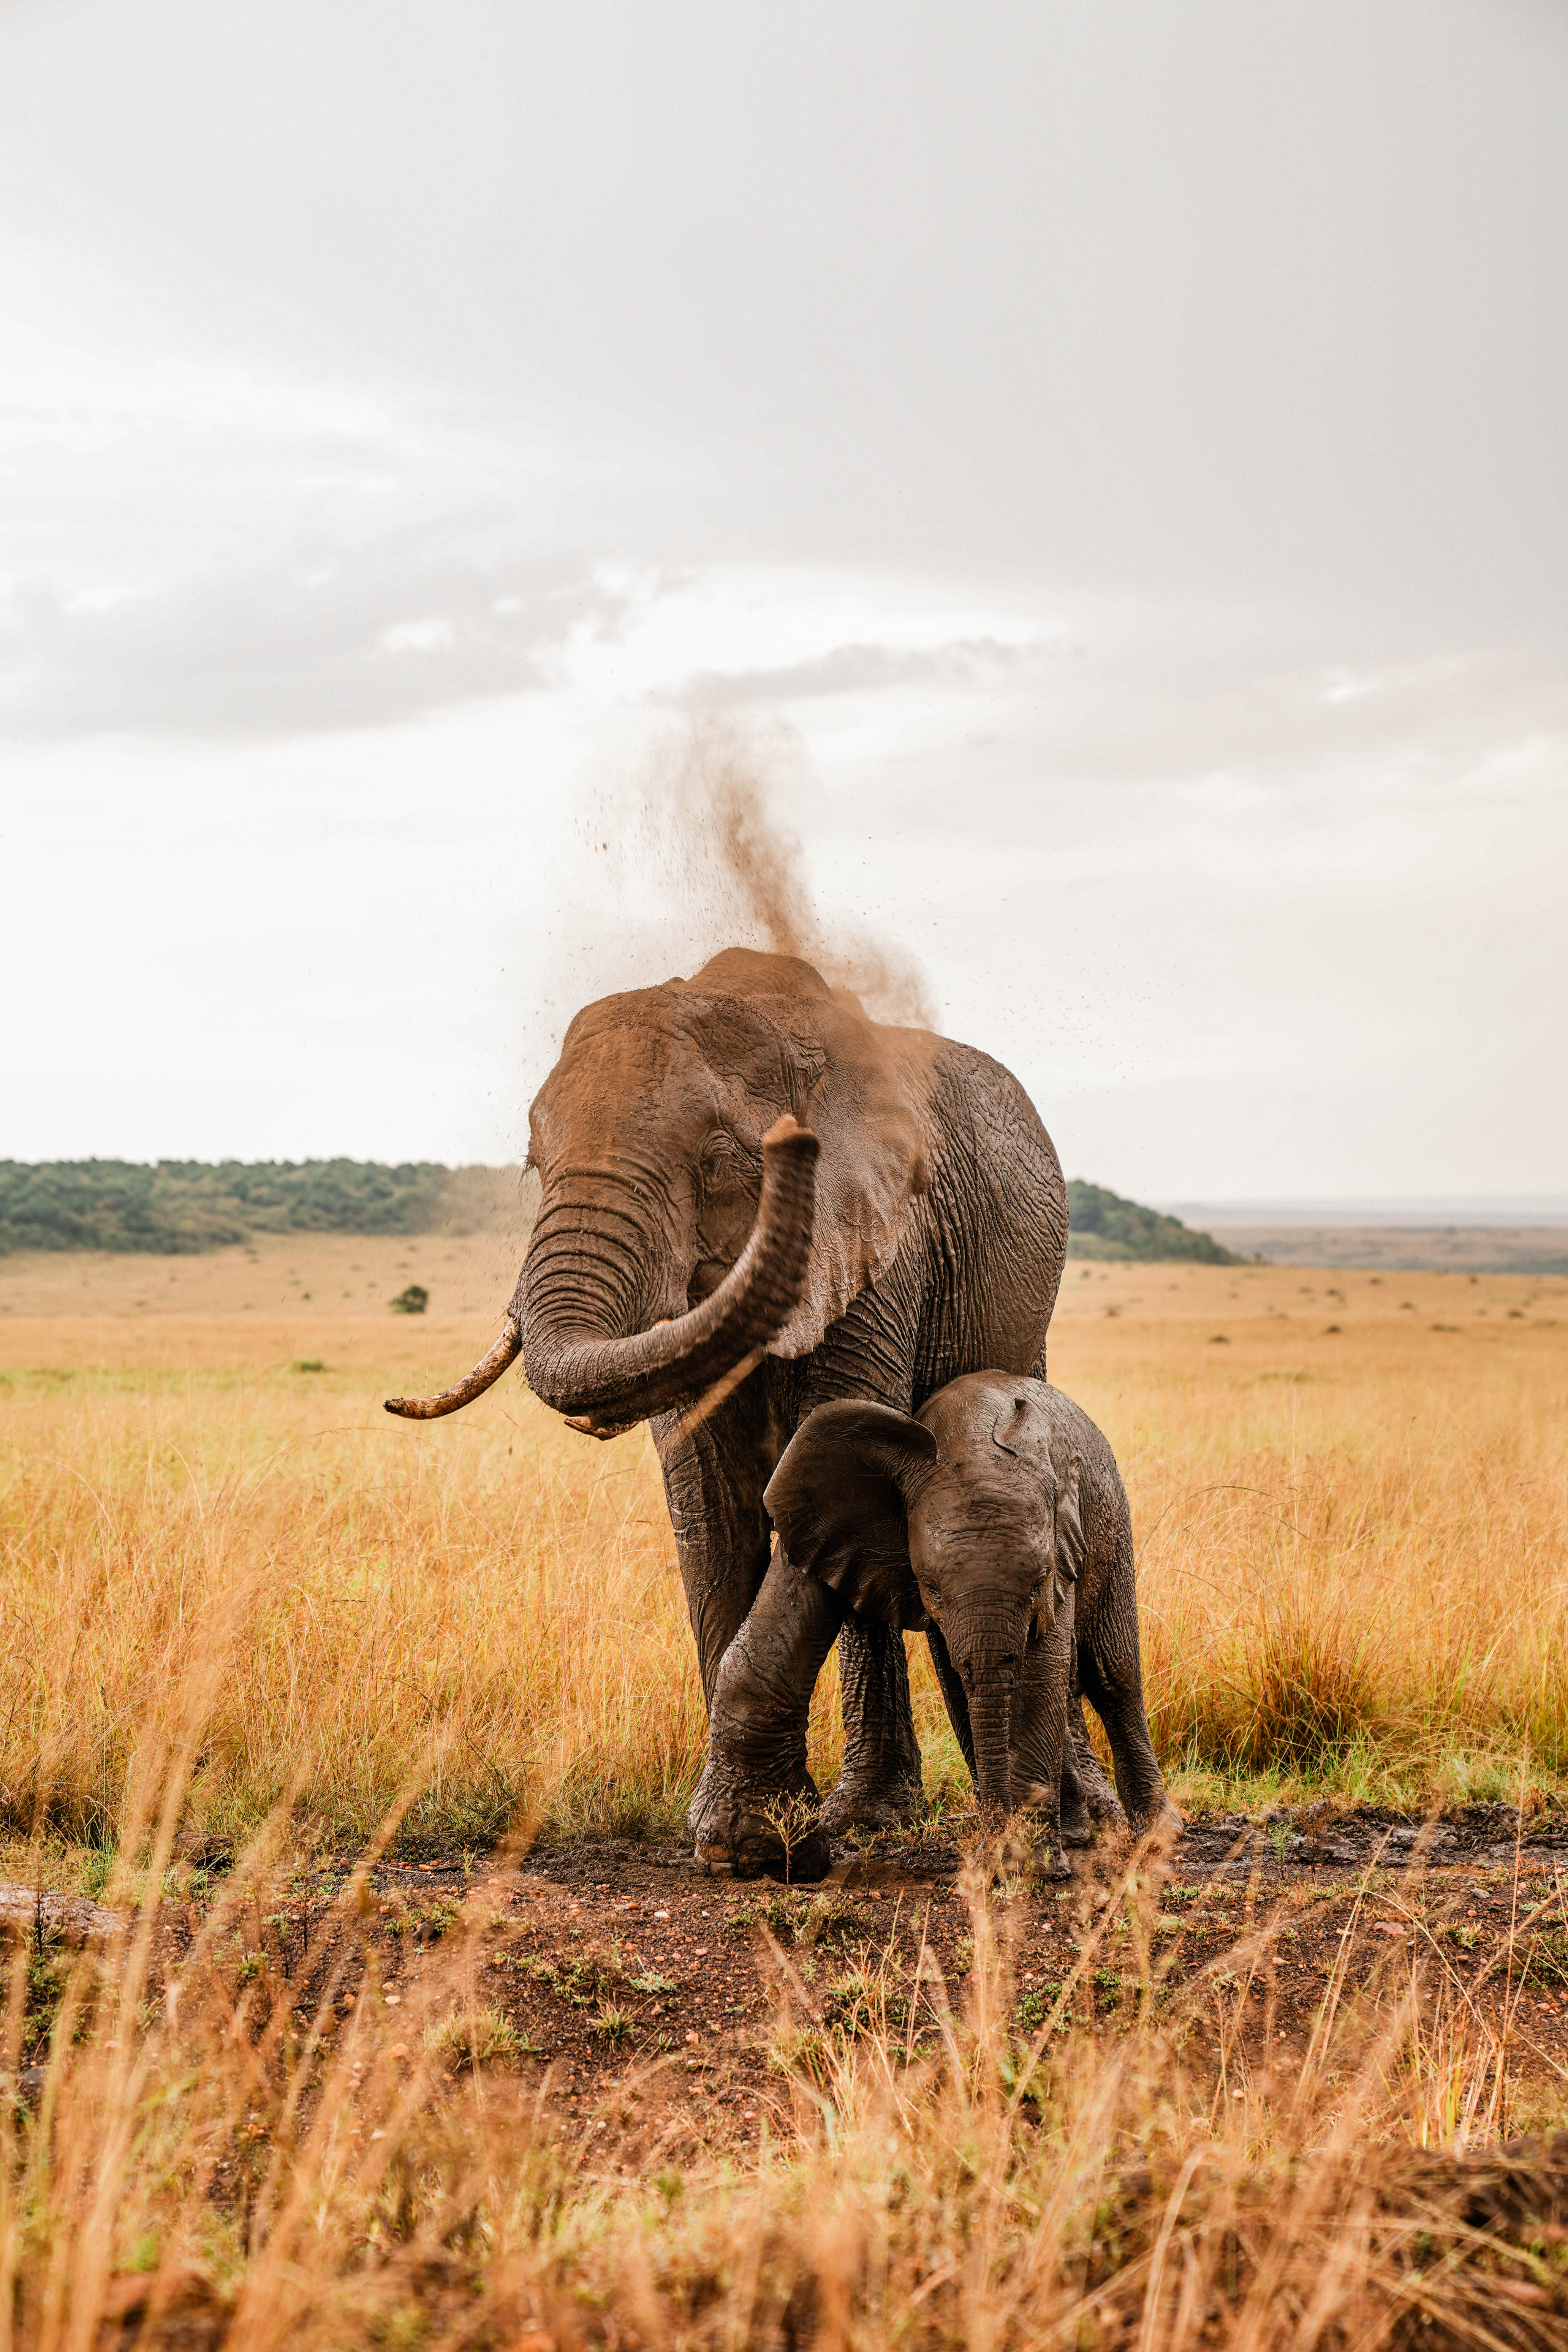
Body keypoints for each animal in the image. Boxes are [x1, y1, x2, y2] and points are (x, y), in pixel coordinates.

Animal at [385, 946, 1068, 1876]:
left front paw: (754, 1845)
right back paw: (869, 1818)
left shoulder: (879, 1240)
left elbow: (825, 1452)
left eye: (719, 1160)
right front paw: (739, 1840)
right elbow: (713, 1509)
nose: (790, 1145)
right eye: (531, 1161)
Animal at [742, 1373, 1177, 1874]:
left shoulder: (1060, 1552)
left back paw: (1158, 1835)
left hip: (1110, 1518)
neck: (973, 1441)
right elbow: (958, 1680)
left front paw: (1032, 1866)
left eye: (1039, 1581)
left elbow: (1039, 1676)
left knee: (1111, 1674)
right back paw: (1074, 1832)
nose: (991, 1854)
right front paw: (1011, 1857)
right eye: (932, 1589)